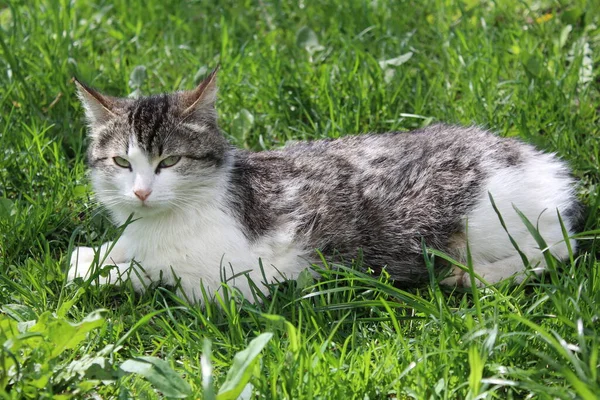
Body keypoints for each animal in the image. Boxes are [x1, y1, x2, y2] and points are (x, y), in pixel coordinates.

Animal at [69, 67, 580, 302]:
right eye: (121, 161)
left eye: (170, 161)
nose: (141, 192)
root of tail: (545, 163)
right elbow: (110, 253)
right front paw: (94, 258)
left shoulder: (232, 280)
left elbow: (155, 274)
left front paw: (110, 273)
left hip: (483, 219)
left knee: (557, 248)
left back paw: (476, 275)